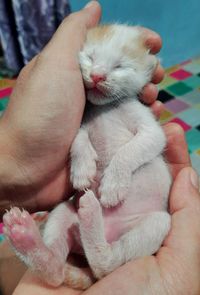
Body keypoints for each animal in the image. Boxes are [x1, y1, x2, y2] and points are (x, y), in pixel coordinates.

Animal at [2, 24, 172, 290]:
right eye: (90, 57)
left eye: (120, 66)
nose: (97, 76)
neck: (104, 107)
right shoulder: (82, 124)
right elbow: (77, 140)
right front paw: (82, 170)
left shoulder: (150, 129)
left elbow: (130, 150)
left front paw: (113, 186)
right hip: (63, 211)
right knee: (57, 272)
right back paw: (29, 240)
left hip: (158, 223)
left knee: (107, 266)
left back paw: (92, 215)